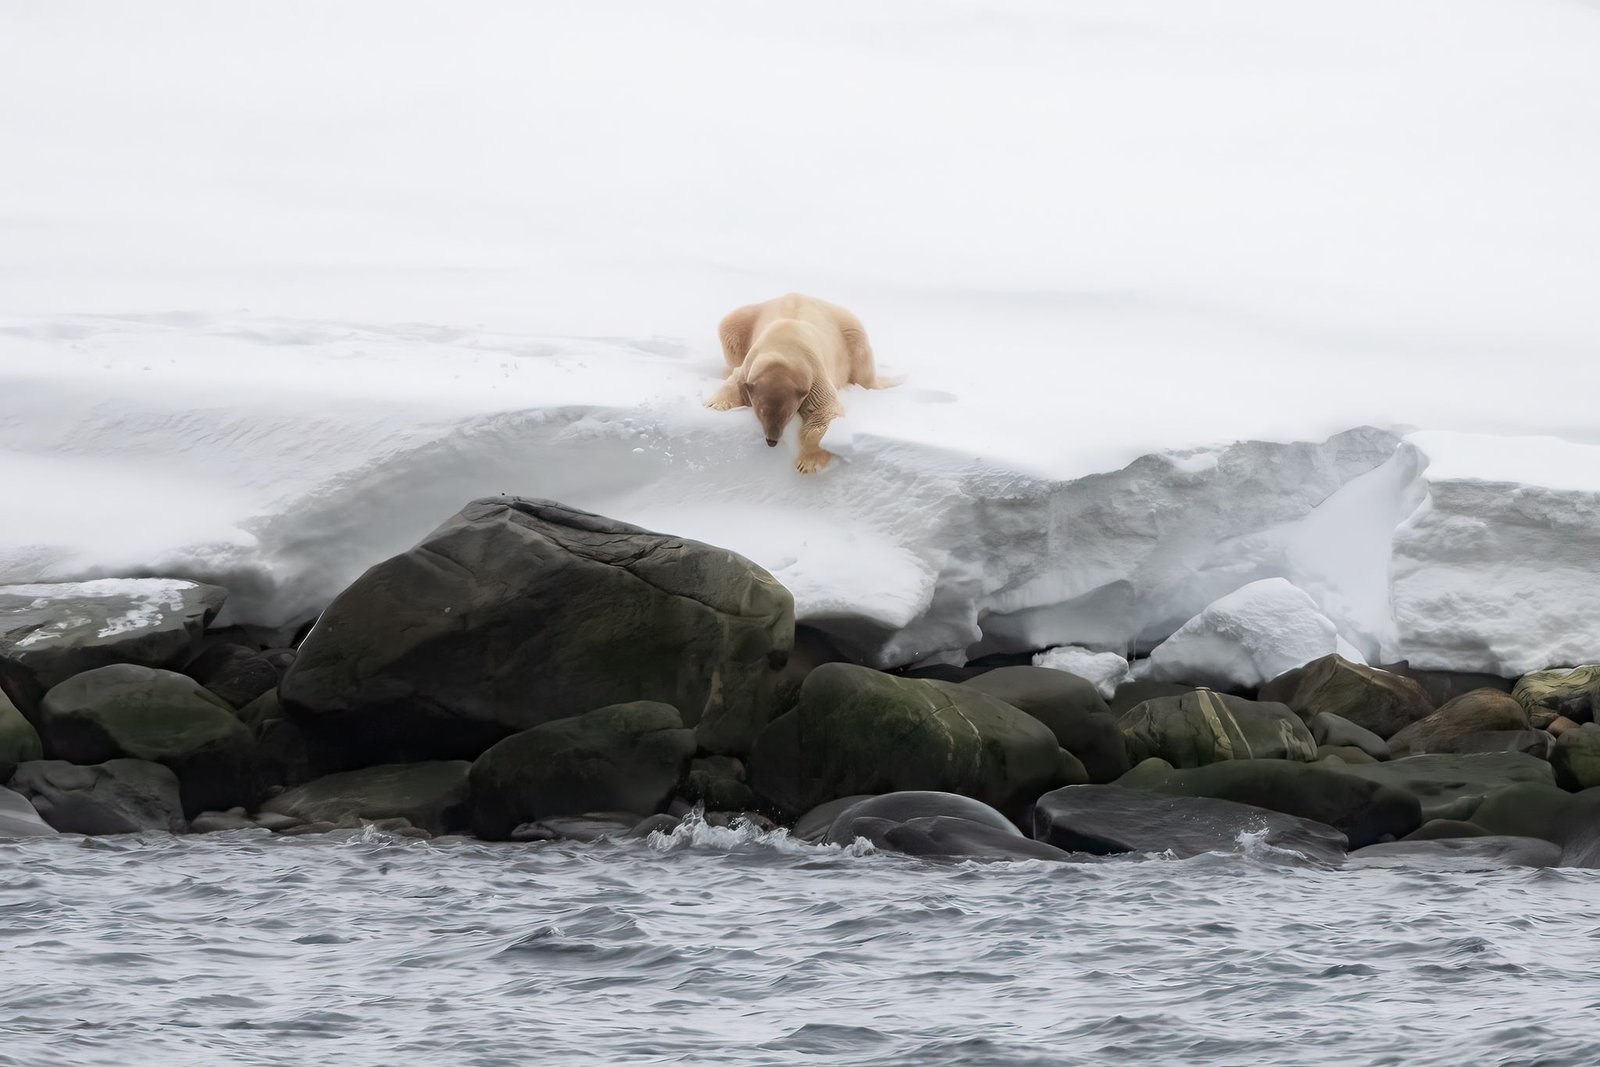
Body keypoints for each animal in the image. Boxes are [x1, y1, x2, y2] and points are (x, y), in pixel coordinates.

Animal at [704, 293, 892, 473]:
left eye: (788, 414)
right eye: (762, 412)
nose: (772, 441)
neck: (785, 347)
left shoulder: (815, 375)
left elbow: (823, 411)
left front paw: (808, 463)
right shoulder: (750, 363)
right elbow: (734, 382)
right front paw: (714, 405)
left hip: (850, 332)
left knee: (863, 368)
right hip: (744, 321)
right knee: (730, 327)